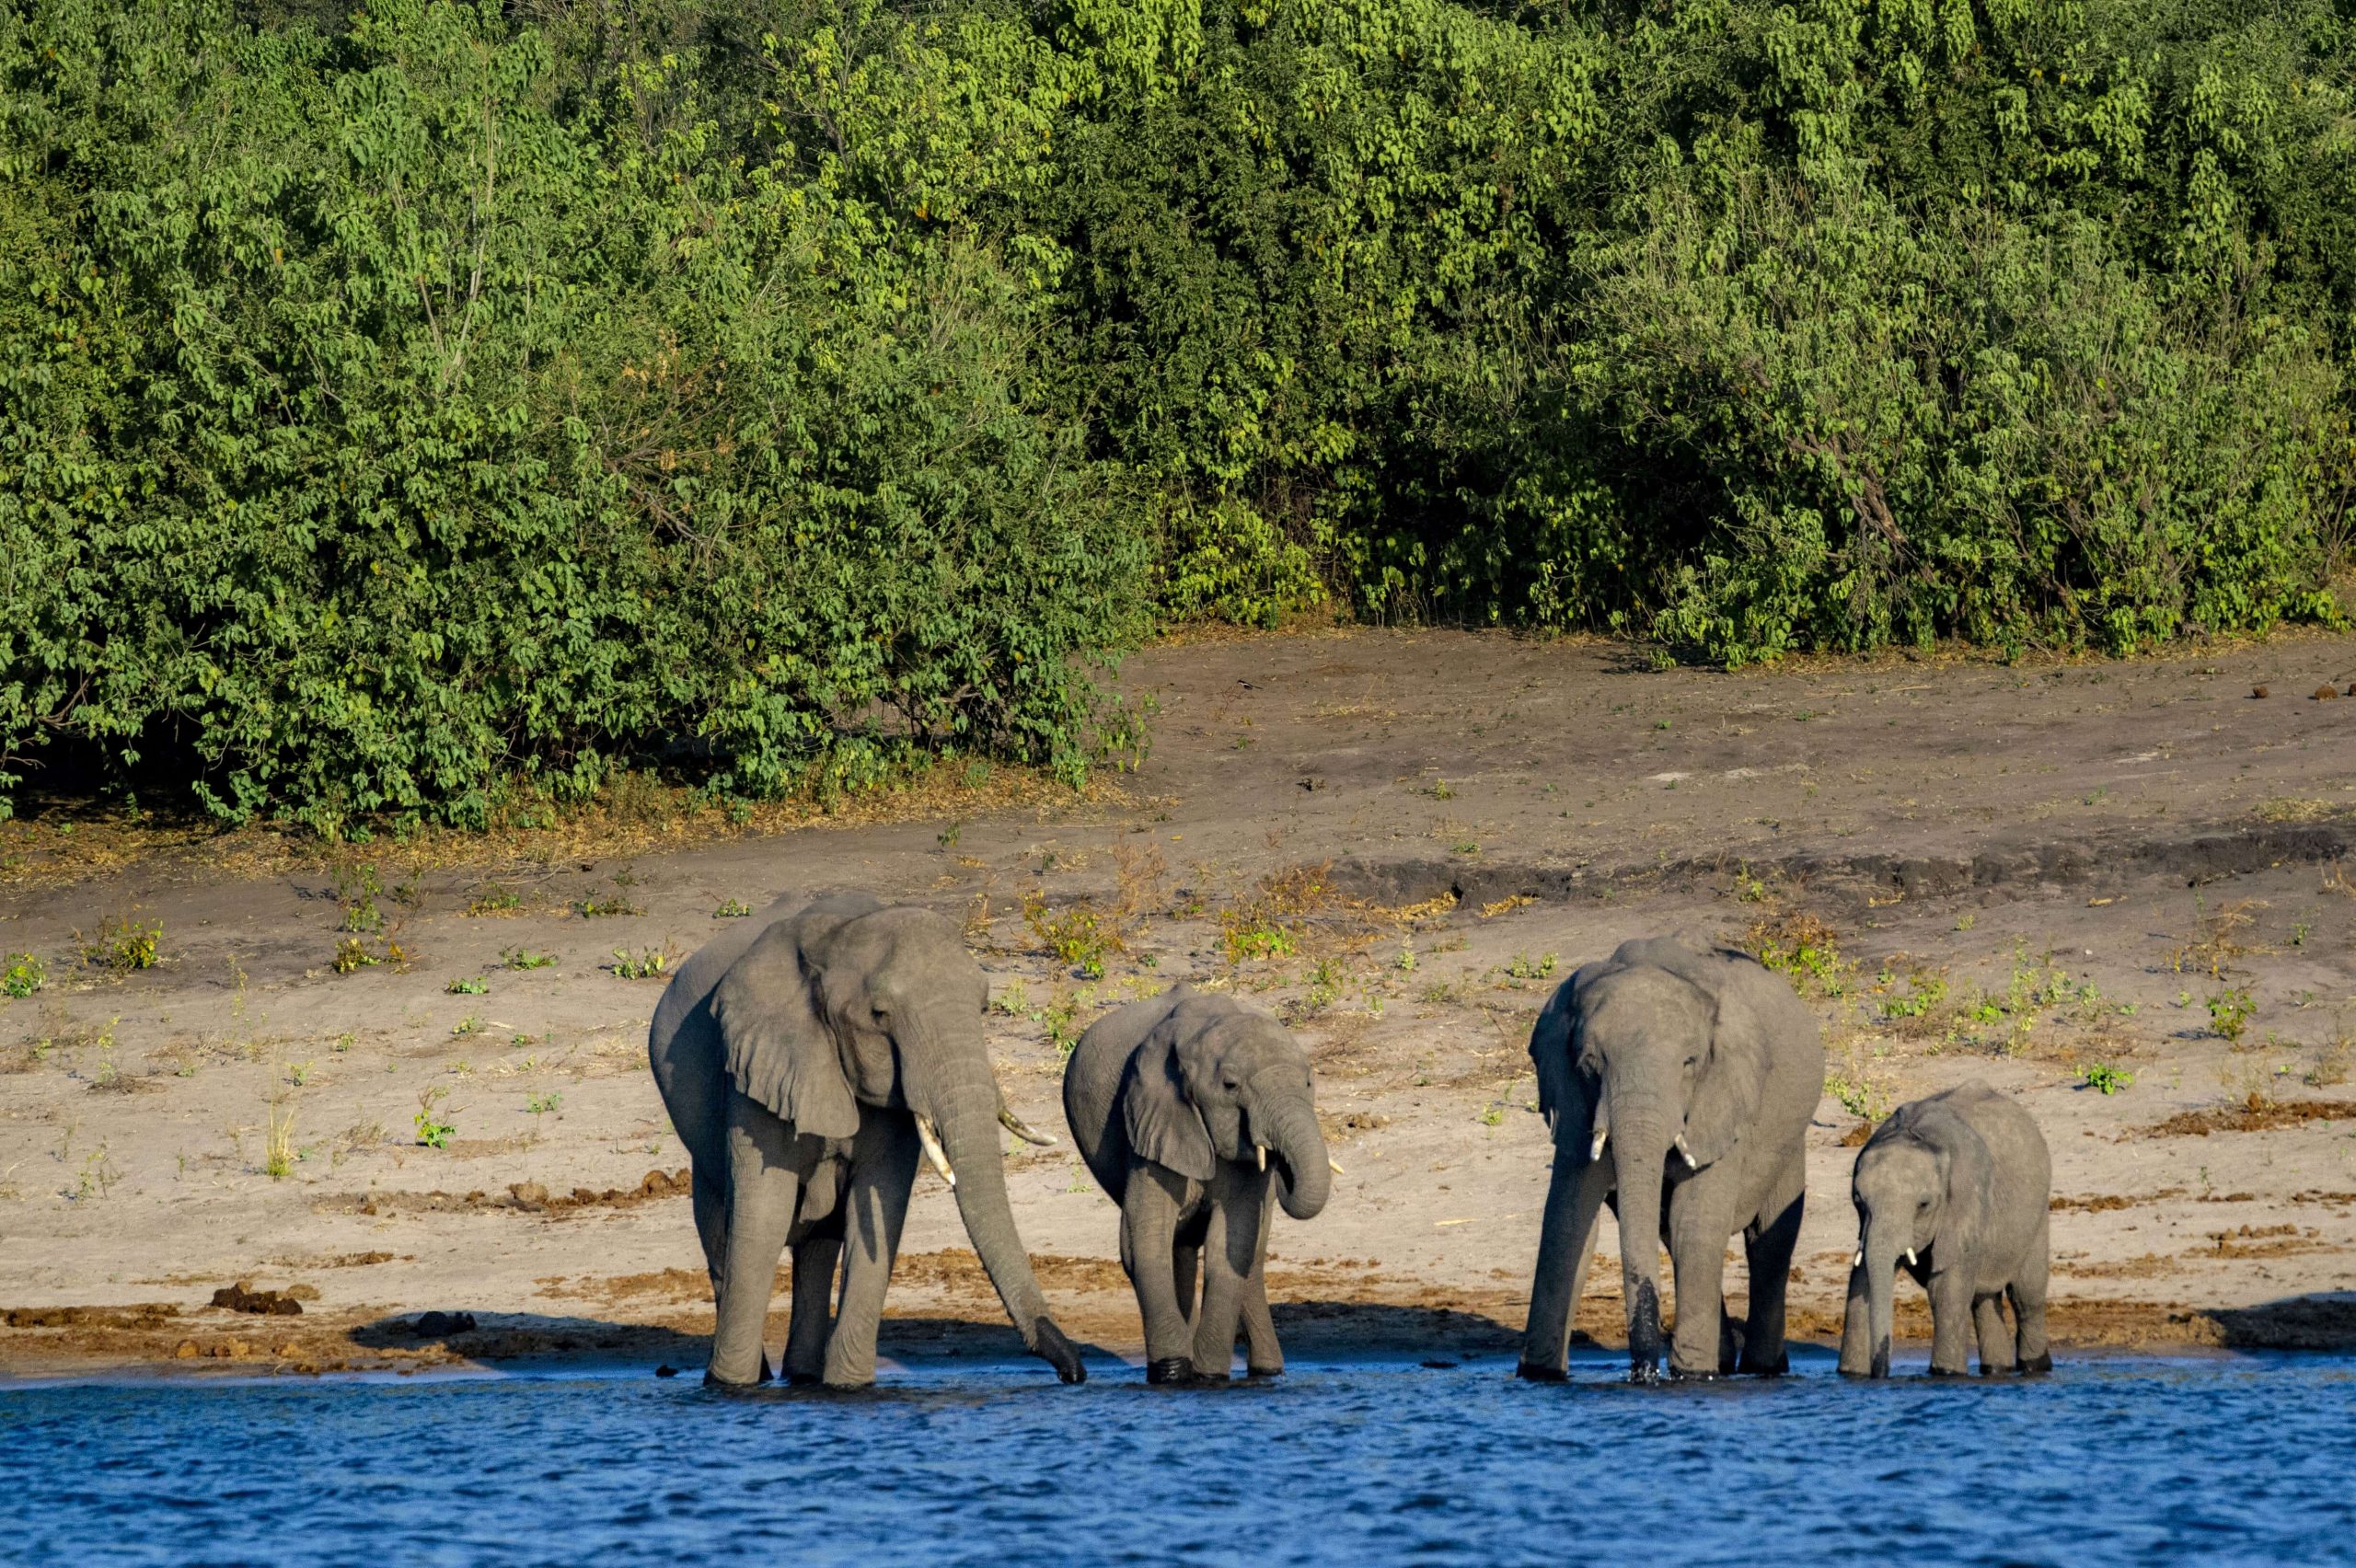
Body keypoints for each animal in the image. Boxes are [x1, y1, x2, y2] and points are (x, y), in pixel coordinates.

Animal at [647, 891, 1085, 1388]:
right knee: (723, 1237)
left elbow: (877, 1207)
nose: (1074, 1374)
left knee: (820, 1246)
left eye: (983, 1007)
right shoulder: (755, 1066)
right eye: (879, 1015)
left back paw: (804, 1378)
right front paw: (729, 1386)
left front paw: (850, 1386)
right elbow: (764, 1216)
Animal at [1063, 984, 1333, 1383]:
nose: (1279, 1163)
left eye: (1309, 1082)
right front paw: (1173, 1370)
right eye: (1230, 1086)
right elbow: (1144, 1241)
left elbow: (1230, 1245)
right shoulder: (1152, 1119)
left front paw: (1209, 1375)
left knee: (1249, 1259)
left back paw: (1267, 1371)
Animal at [1517, 934, 1825, 1383]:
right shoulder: (1573, 1101)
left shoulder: (1724, 1098)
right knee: (1670, 1233)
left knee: (1767, 1242)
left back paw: (1760, 1368)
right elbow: (1569, 1219)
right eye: (1589, 1064)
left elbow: (1694, 1221)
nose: (1644, 1373)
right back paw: (1724, 1363)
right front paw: (1539, 1376)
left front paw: (1693, 1376)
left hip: (1787, 1136)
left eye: (1689, 1063)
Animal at [1838, 1080, 2052, 1378]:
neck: (1915, 1135)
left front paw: (1946, 1374)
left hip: (2037, 1213)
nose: (1880, 1374)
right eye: (1858, 1201)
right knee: (1984, 1299)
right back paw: (1997, 1370)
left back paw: (2036, 1368)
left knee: (2027, 1297)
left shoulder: (1964, 1198)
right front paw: (1851, 1375)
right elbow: (1861, 1279)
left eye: (1924, 1205)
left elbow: (1946, 1288)